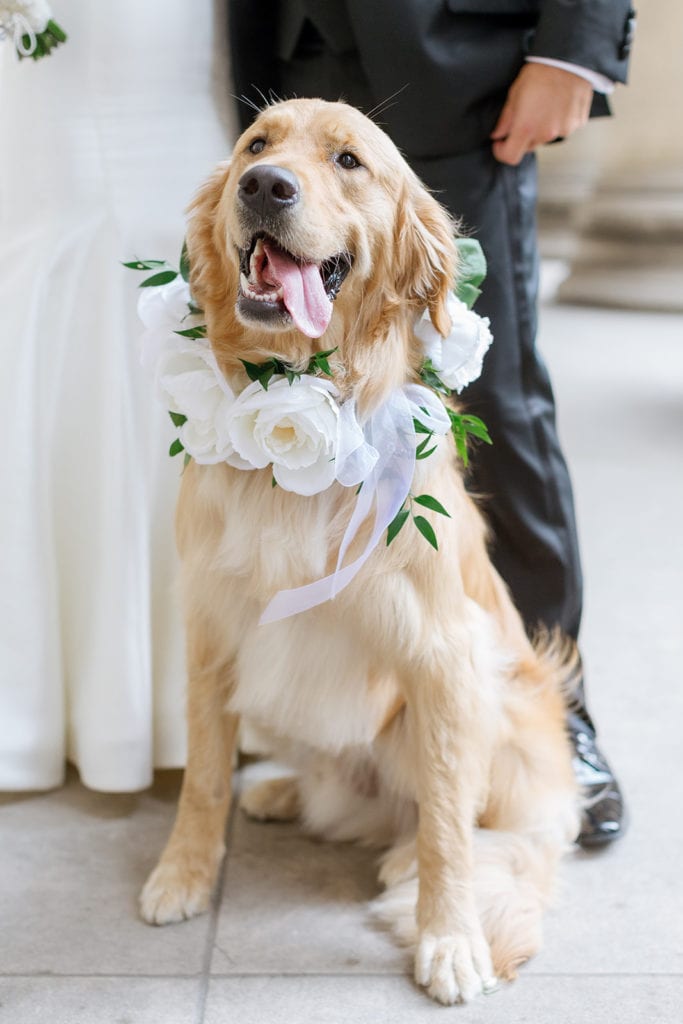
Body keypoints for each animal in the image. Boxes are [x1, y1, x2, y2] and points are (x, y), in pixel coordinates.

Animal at [141, 97, 581, 1007]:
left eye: (349, 160)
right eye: (256, 144)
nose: (263, 186)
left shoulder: (445, 655)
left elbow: (447, 822)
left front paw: (448, 938)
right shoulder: (209, 629)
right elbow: (203, 774)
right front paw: (183, 874)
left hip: (507, 700)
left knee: (471, 827)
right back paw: (283, 791)